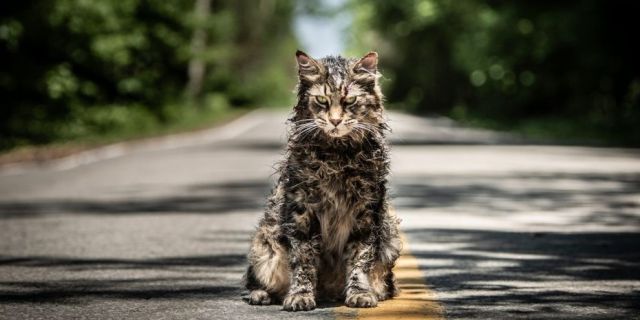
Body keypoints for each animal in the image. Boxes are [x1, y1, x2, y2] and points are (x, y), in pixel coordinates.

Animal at [245, 51, 400, 312]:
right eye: (321, 100)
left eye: (350, 101)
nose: (335, 121)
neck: (337, 156)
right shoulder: (302, 213)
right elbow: (304, 261)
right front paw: (300, 296)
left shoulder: (366, 213)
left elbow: (360, 259)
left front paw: (360, 293)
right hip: (265, 244)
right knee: (255, 279)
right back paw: (261, 294)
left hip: (390, 237)